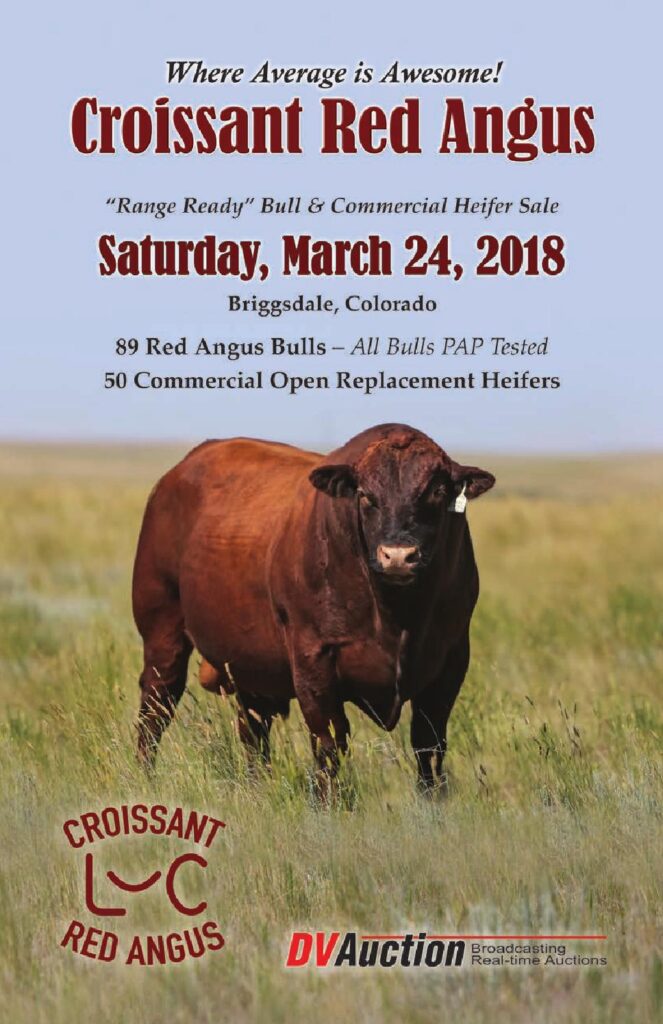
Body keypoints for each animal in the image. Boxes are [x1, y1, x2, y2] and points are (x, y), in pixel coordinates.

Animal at [132, 423, 495, 791]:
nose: (397, 556)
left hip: (249, 658)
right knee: (156, 708)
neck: (397, 616)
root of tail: (180, 469)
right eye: (365, 494)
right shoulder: (313, 656)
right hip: (163, 631)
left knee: (252, 728)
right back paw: (145, 778)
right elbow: (329, 743)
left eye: (437, 490)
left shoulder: (451, 659)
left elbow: (429, 746)